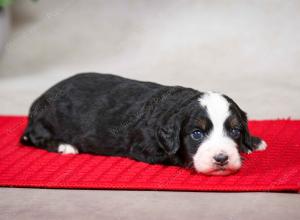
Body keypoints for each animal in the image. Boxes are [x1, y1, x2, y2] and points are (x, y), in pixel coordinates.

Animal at [20, 73, 268, 176]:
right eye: (197, 134)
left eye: (235, 130)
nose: (221, 158)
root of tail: (40, 99)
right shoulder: (144, 148)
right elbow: (173, 155)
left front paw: (252, 142)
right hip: (44, 124)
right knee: (36, 137)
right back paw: (65, 146)